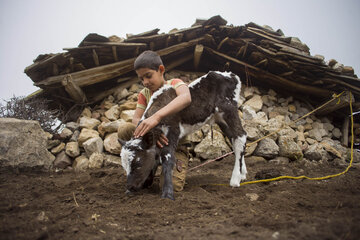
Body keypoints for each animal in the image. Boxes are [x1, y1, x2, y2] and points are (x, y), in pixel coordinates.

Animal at [120, 71, 248, 201]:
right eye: (124, 166)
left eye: (138, 164)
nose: (129, 187)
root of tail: (230, 75)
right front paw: (147, 182)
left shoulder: (173, 130)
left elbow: (168, 159)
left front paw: (167, 195)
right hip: (219, 118)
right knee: (235, 138)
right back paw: (242, 174)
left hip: (228, 109)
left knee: (240, 136)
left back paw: (235, 179)